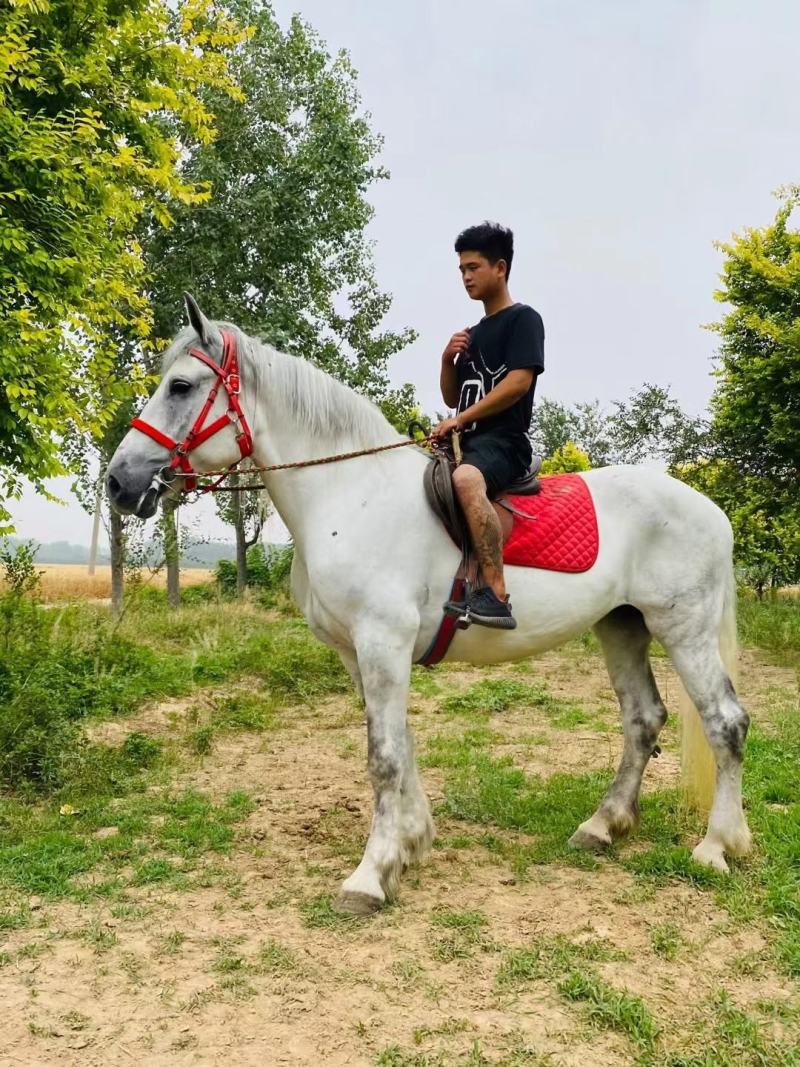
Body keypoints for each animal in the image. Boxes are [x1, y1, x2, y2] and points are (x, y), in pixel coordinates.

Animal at [106, 295, 752, 915]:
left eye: (180, 386)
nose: (118, 482)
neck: (352, 495)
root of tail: (710, 509)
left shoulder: (381, 642)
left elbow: (385, 757)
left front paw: (370, 876)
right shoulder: (357, 653)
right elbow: (400, 744)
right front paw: (411, 843)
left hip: (684, 628)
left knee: (726, 722)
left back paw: (718, 845)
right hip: (621, 627)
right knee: (643, 719)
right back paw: (603, 825)